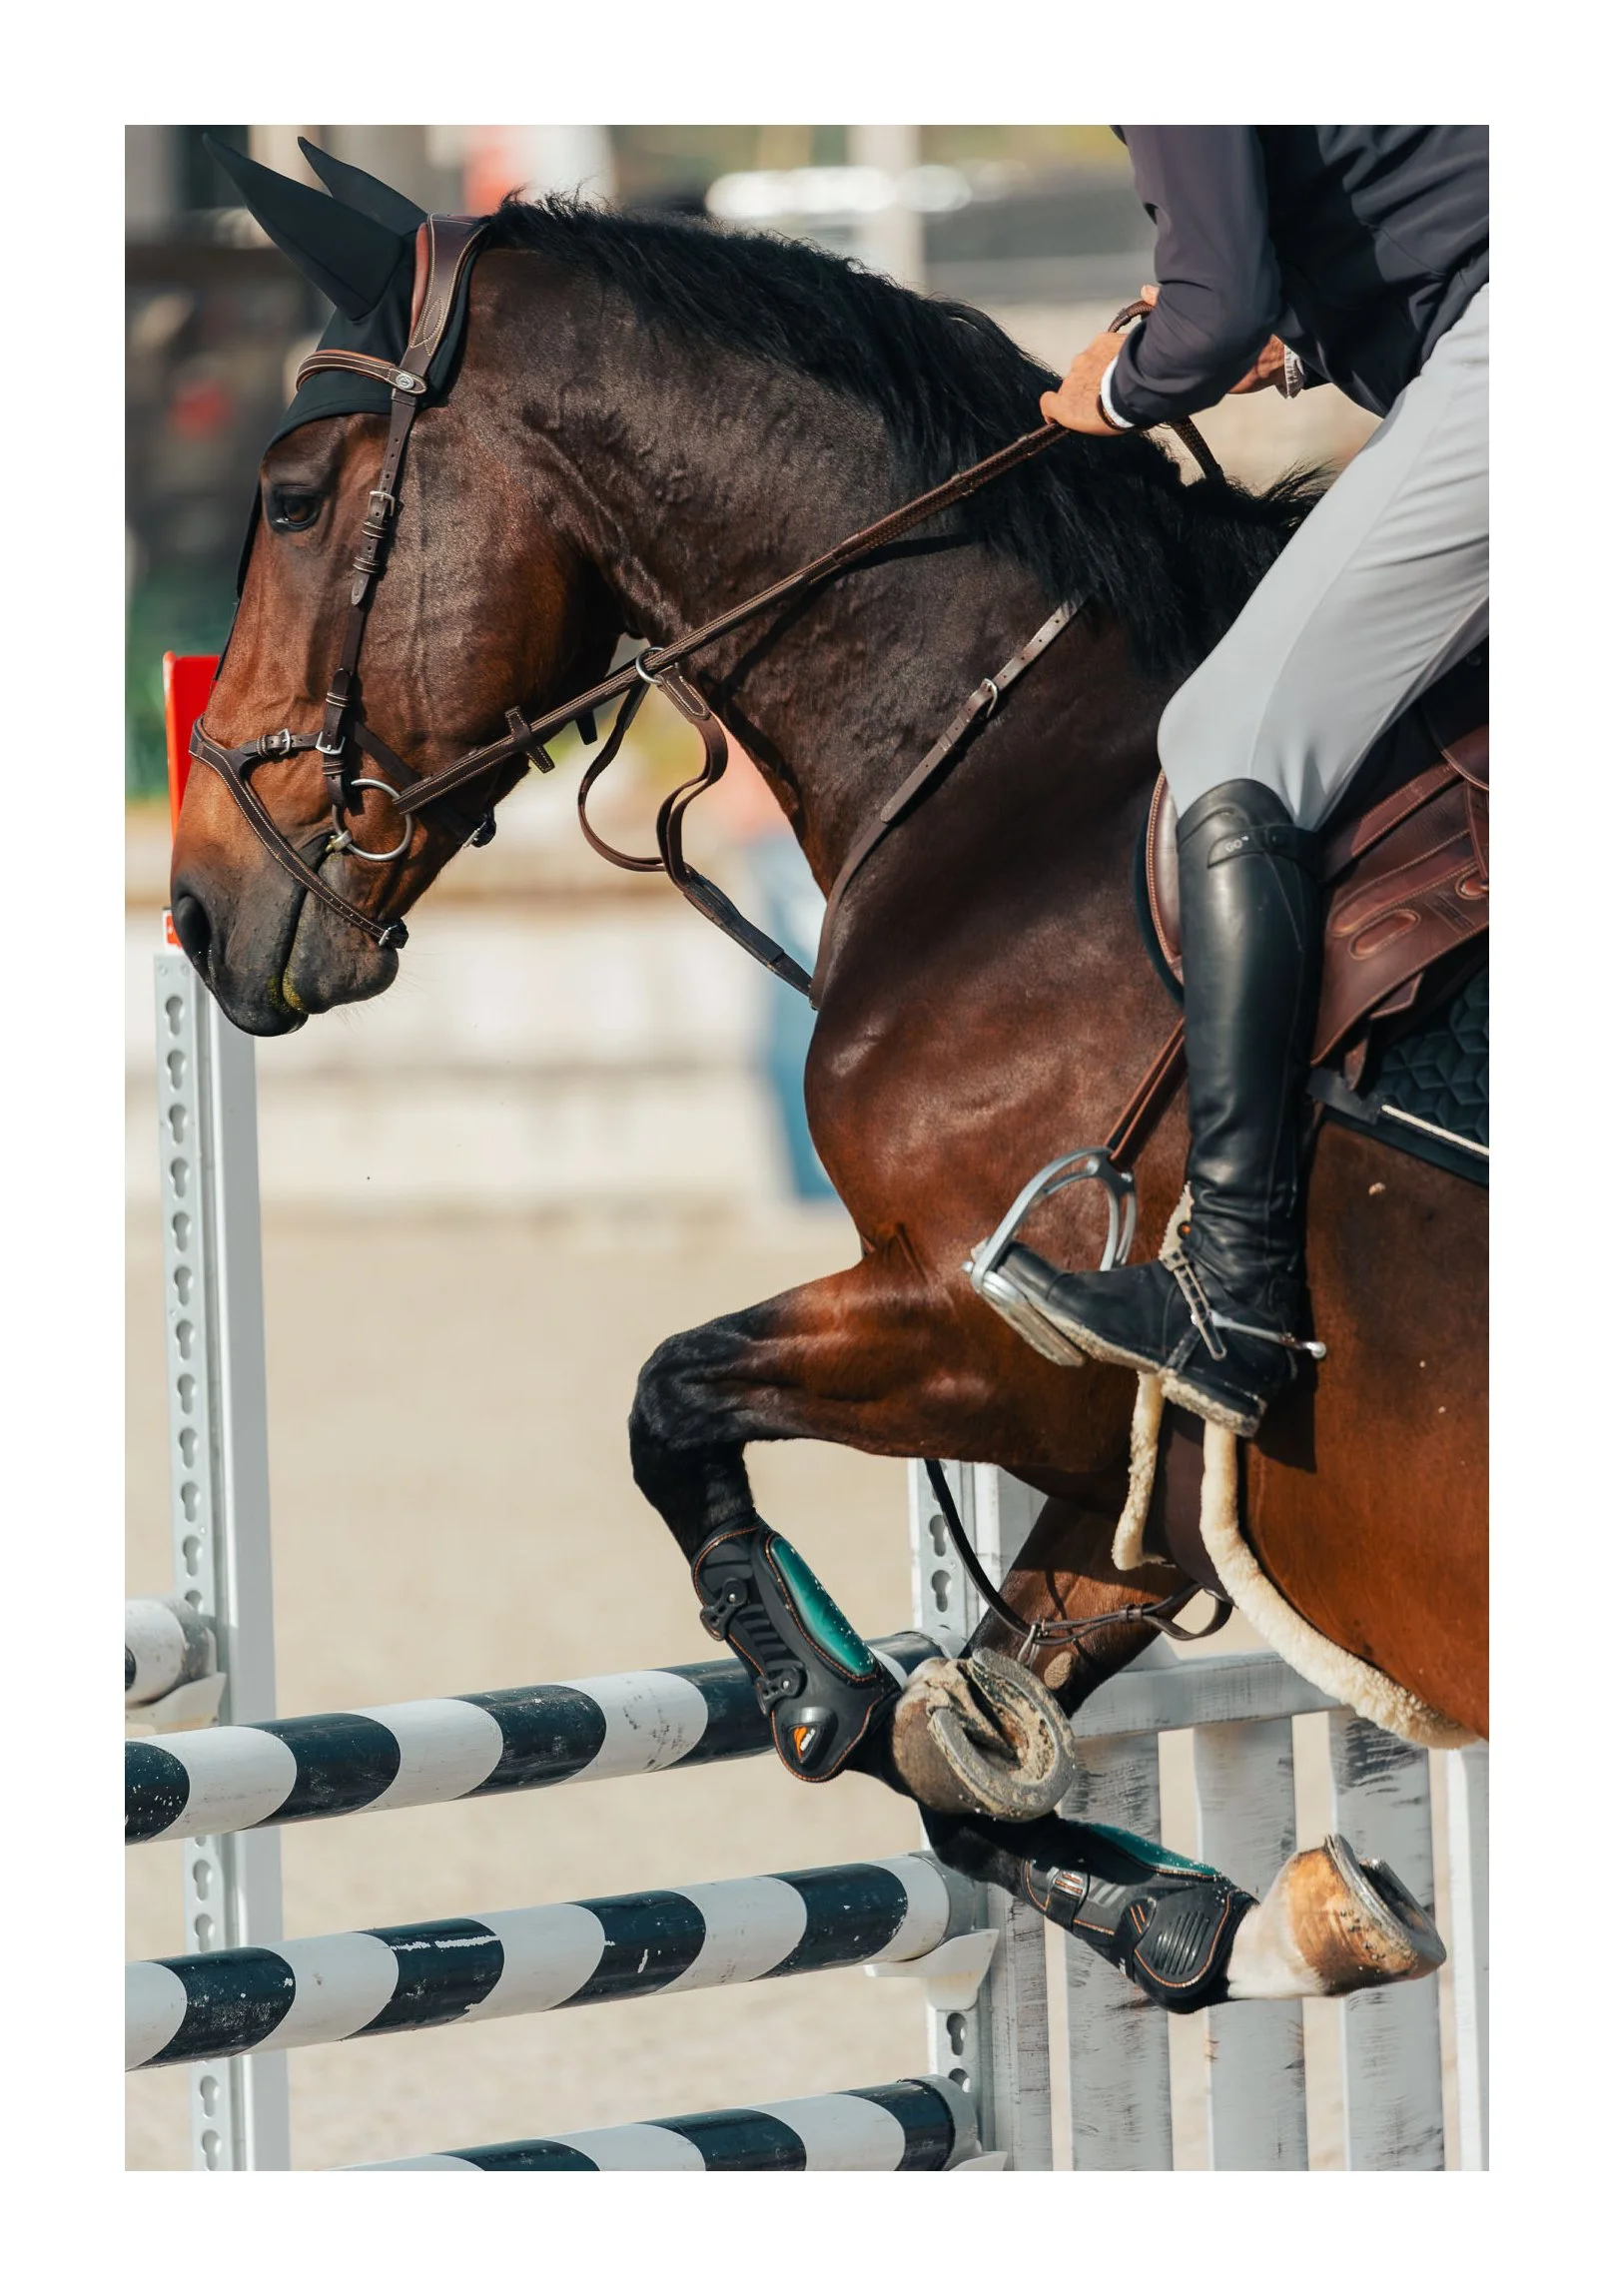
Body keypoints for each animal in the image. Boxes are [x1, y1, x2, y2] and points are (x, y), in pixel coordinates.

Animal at [168, 183, 1485, 1998]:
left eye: (293, 498)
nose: (195, 904)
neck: (1013, 769)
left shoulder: (996, 1331)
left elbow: (669, 1396)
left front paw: (802, 1676)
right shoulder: (1128, 1476)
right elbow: (959, 1751)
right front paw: (1214, 1914)